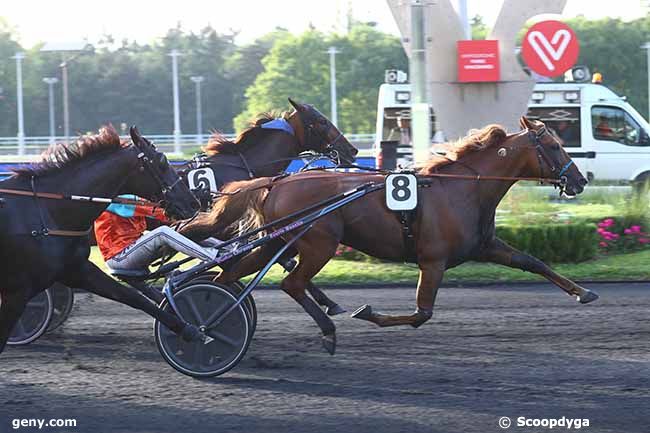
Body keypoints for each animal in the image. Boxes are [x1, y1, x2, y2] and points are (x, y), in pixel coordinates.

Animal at [0, 124, 200, 352]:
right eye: (162, 160)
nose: (193, 202)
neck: (47, 212)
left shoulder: (75, 269)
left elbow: (131, 296)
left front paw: (188, 328)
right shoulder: (17, 291)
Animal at [180, 116, 596, 352]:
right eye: (555, 145)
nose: (580, 180)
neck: (463, 188)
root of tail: (276, 182)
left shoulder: (485, 245)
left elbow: (533, 261)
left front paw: (583, 292)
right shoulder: (433, 261)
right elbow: (421, 313)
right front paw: (367, 312)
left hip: (279, 241)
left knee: (228, 275)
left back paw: (207, 318)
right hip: (319, 243)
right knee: (291, 283)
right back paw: (326, 330)